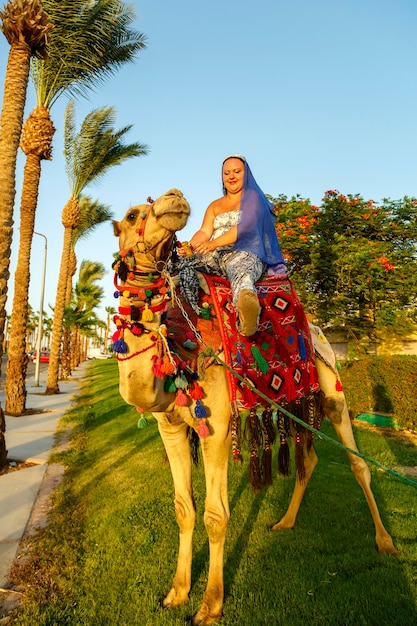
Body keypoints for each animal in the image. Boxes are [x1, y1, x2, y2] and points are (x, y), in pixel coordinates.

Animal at [111, 186, 396, 624]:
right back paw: (285, 522)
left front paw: (209, 606)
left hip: (332, 388)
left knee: (358, 462)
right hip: (298, 401)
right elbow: (183, 508)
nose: (175, 198)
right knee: (308, 459)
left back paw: (385, 543)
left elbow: (215, 516)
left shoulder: (215, 426)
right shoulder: (170, 427)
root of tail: (317, 327)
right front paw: (176, 593)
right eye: (130, 215)